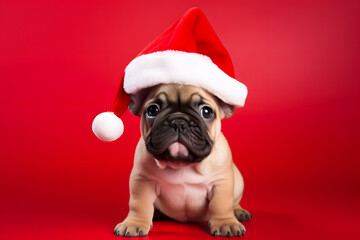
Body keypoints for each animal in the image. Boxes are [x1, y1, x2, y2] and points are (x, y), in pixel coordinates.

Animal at [114, 84, 252, 236]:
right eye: (152, 110)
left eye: (206, 112)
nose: (178, 122)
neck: (182, 164)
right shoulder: (142, 180)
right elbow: (139, 203)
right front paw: (134, 223)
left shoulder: (221, 182)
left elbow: (221, 204)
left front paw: (226, 223)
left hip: (239, 182)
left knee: (234, 201)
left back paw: (239, 211)